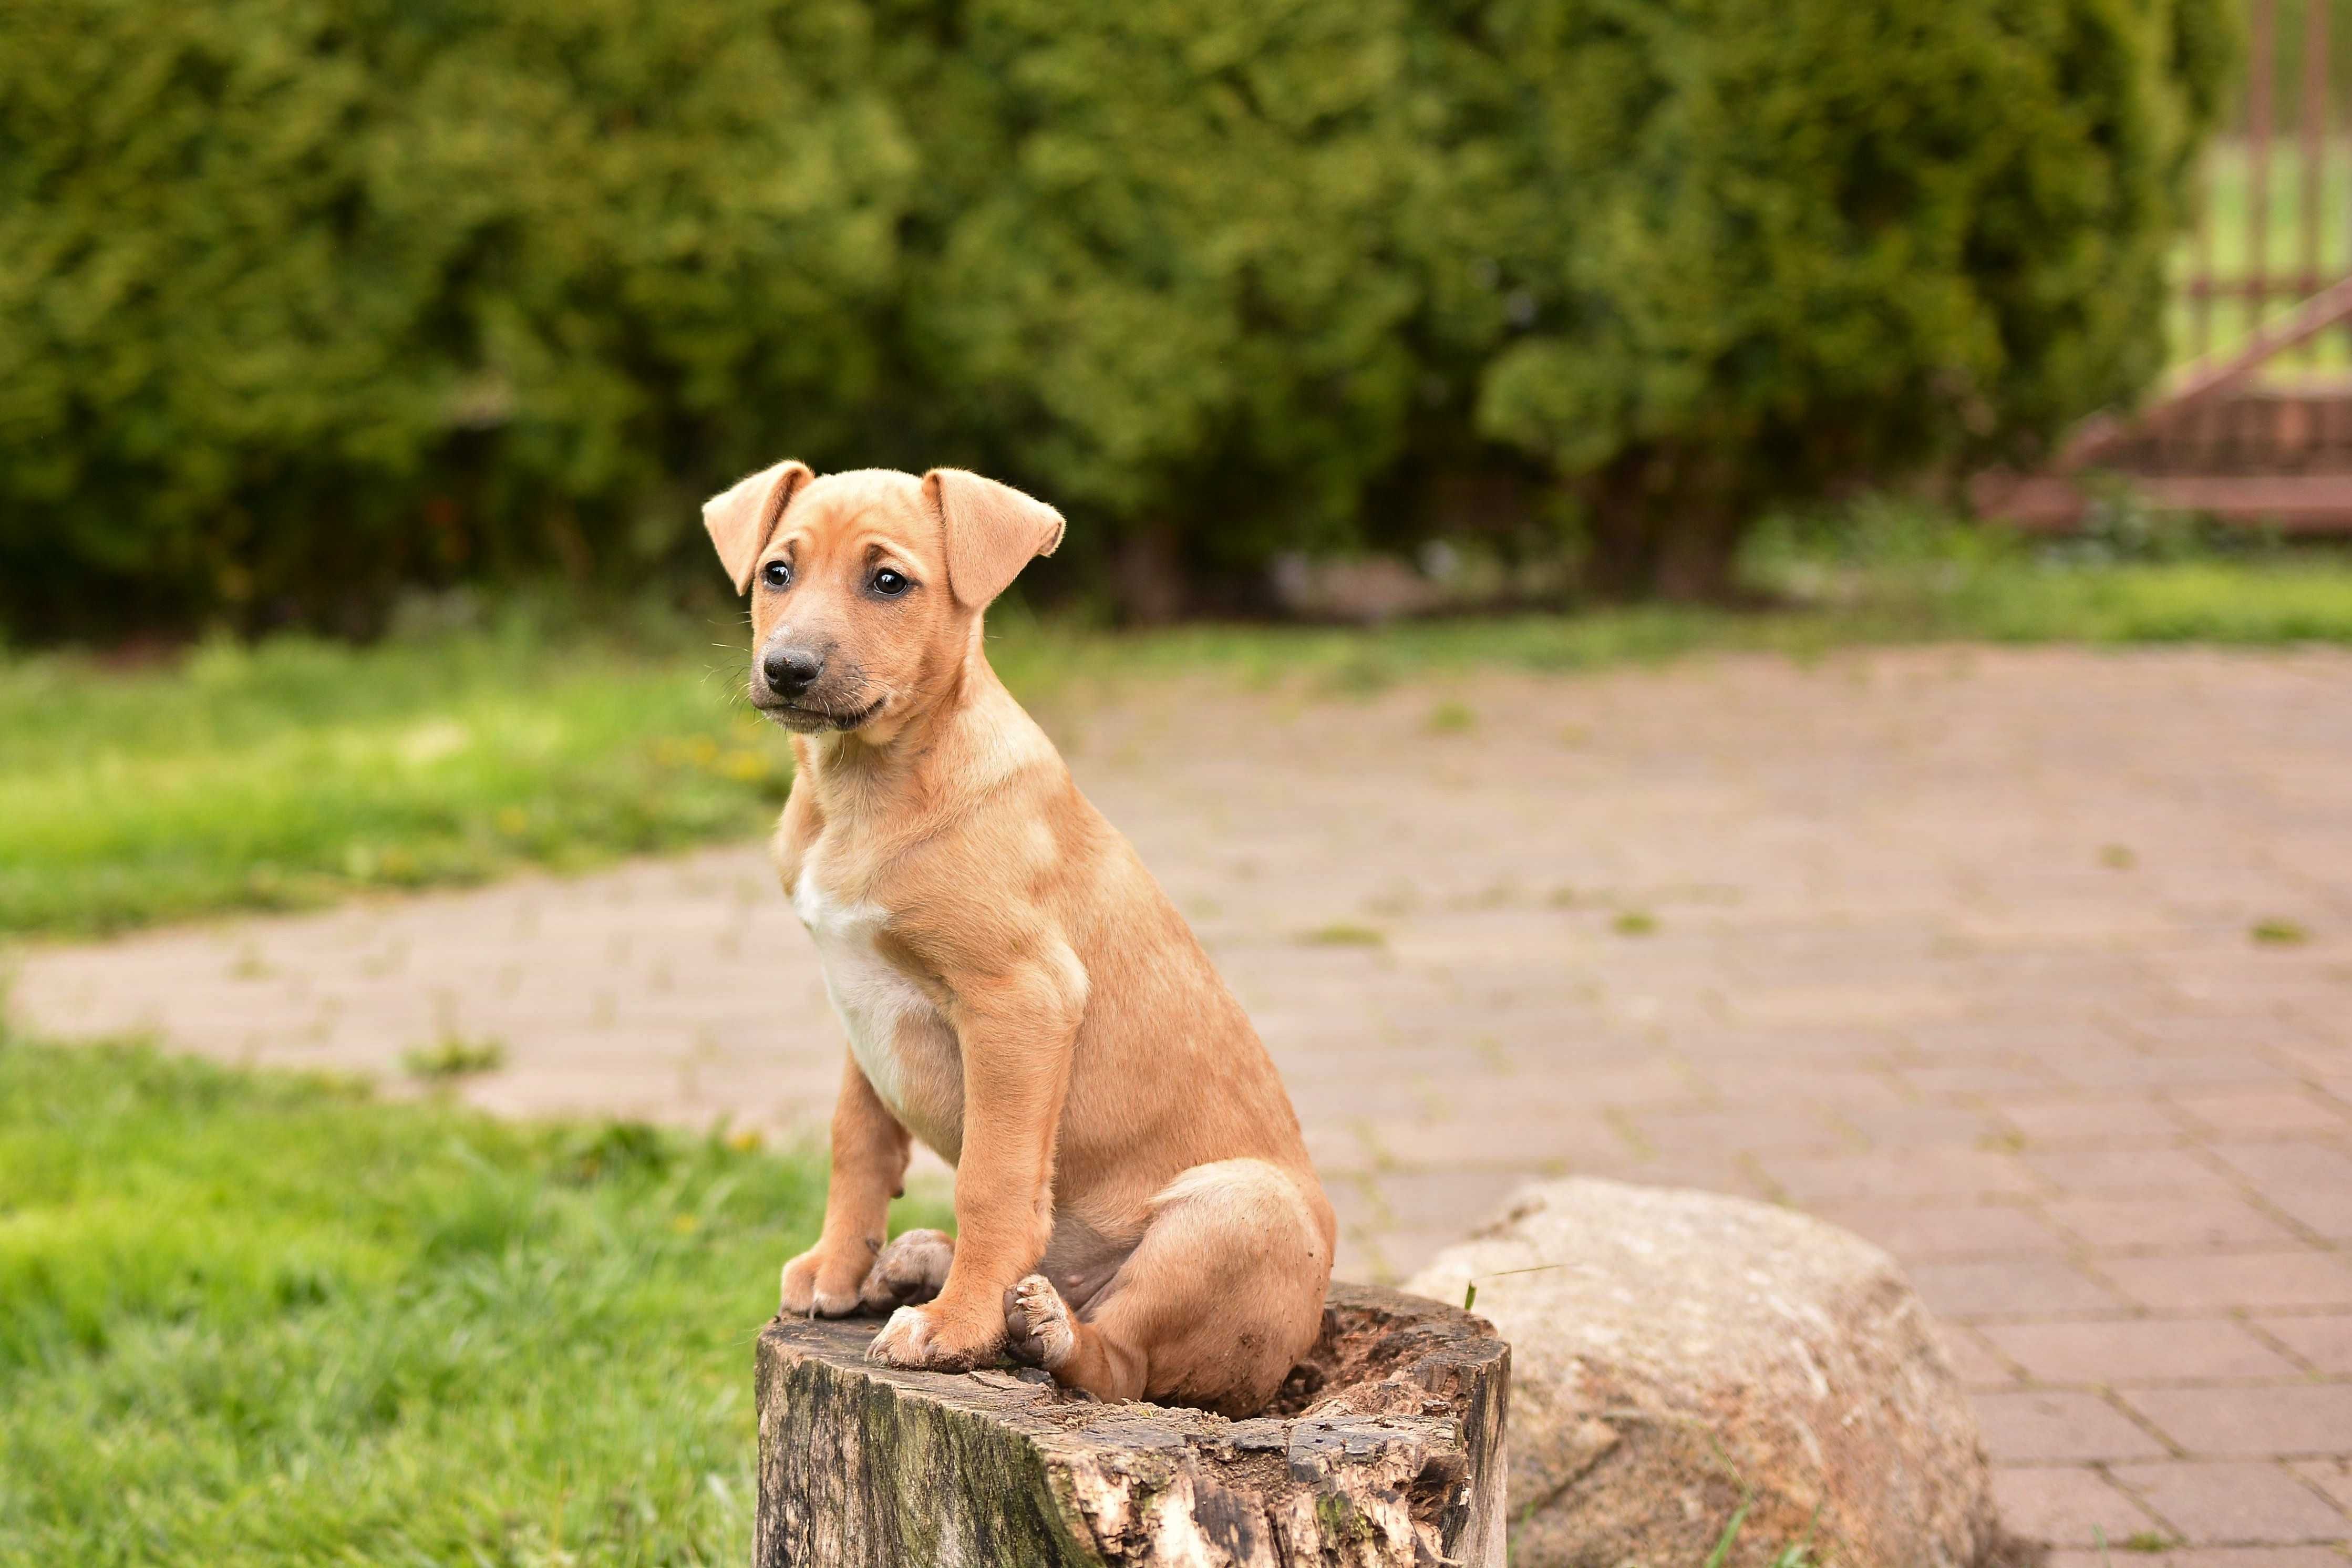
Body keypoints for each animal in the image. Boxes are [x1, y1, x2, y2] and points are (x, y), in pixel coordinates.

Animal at [696, 460, 1336, 1420]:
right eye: (777, 571)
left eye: (889, 581)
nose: (787, 669)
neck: (868, 785)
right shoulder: (860, 1001)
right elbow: (858, 1144)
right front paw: (839, 1268)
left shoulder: (1020, 999)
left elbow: (991, 1177)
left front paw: (956, 1328)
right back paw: (921, 1259)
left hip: (1238, 1213)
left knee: (1124, 1364)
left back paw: (1043, 1326)